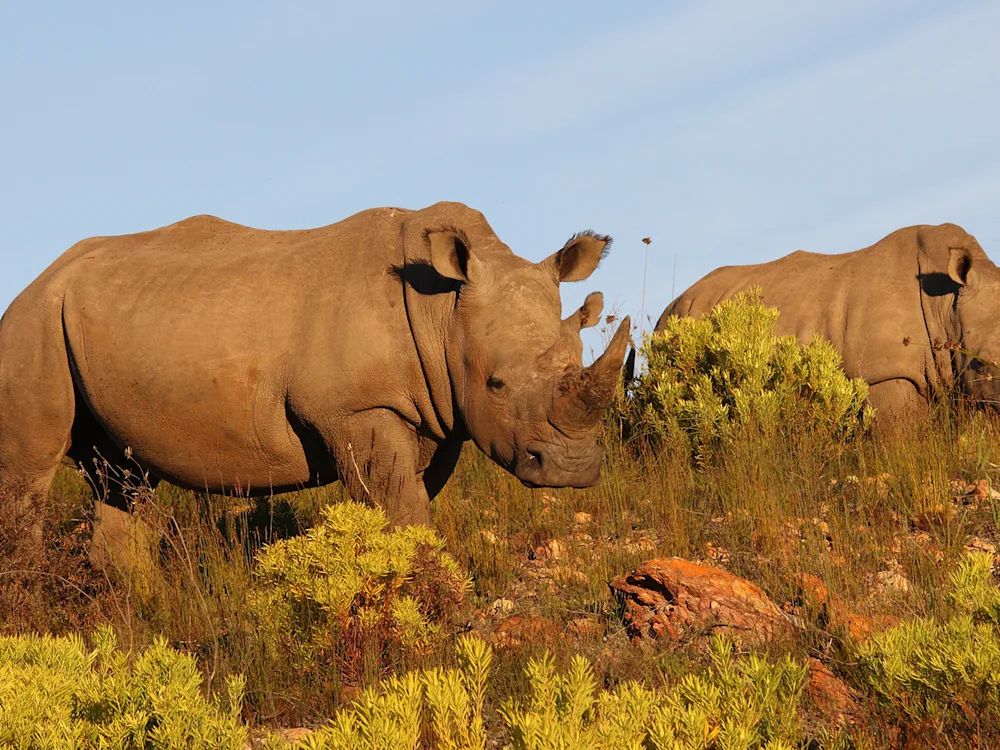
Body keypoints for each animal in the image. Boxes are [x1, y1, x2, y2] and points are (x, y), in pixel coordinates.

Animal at [0, 201, 630, 531]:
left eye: (577, 359)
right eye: (496, 383)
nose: (571, 470)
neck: (444, 312)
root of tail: (39, 278)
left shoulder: (437, 413)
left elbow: (411, 501)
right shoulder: (356, 407)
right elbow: (401, 508)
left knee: (121, 481)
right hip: (32, 322)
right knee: (29, 479)